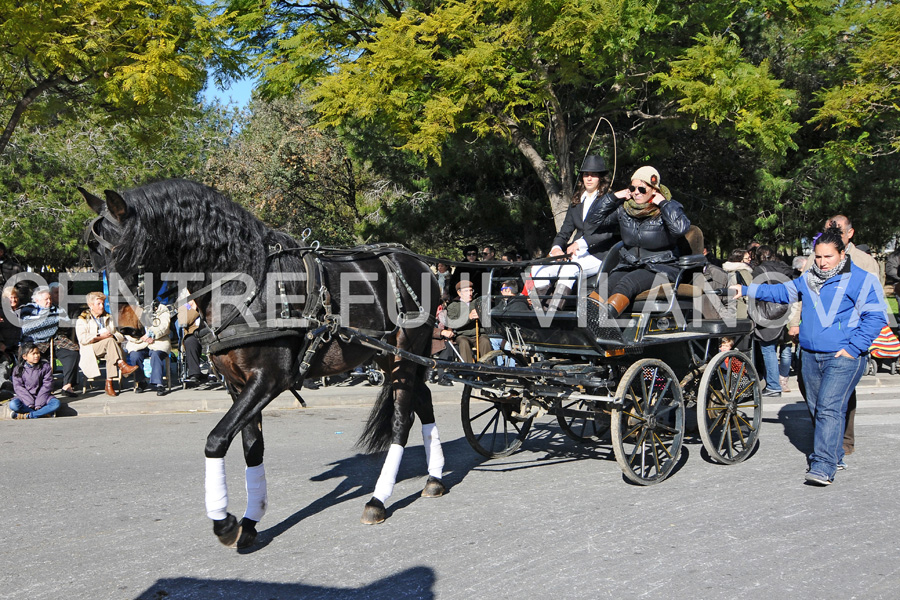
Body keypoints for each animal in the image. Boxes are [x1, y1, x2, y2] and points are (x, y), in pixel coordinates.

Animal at [79, 177, 444, 548]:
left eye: (130, 254)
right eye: (97, 257)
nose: (124, 327)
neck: (245, 285)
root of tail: (416, 260)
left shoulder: (268, 379)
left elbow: (216, 440)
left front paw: (224, 522)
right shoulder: (236, 384)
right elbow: (251, 448)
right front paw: (250, 521)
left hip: (404, 353)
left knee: (401, 421)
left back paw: (378, 499)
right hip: (389, 356)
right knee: (423, 400)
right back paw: (434, 479)